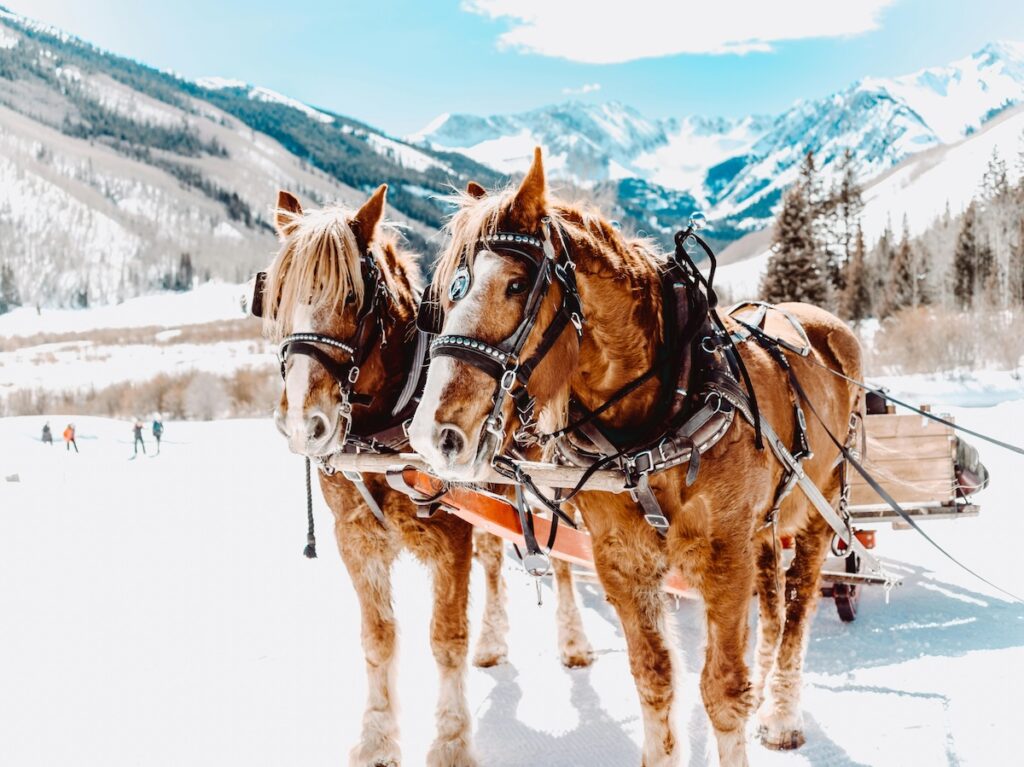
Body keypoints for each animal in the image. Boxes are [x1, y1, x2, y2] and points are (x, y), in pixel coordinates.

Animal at [261, 185, 593, 767]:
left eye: (353, 299)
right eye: (276, 298)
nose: (305, 423)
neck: (381, 435)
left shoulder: (449, 538)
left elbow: (445, 638)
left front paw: (452, 742)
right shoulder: (357, 541)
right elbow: (378, 638)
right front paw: (377, 737)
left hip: (548, 479)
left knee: (561, 557)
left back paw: (573, 641)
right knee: (494, 559)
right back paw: (493, 641)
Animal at [408, 149, 863, 766]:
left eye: (517, 284)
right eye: (448, 293)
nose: (435, 434)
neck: (659, 416)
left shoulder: (725, 557)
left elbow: (723, 691)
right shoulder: (624, 564)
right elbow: (654, 680)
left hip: (820, 509)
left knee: (797, 608)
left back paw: (782, 715)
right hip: (765, 525)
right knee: (771, 603)